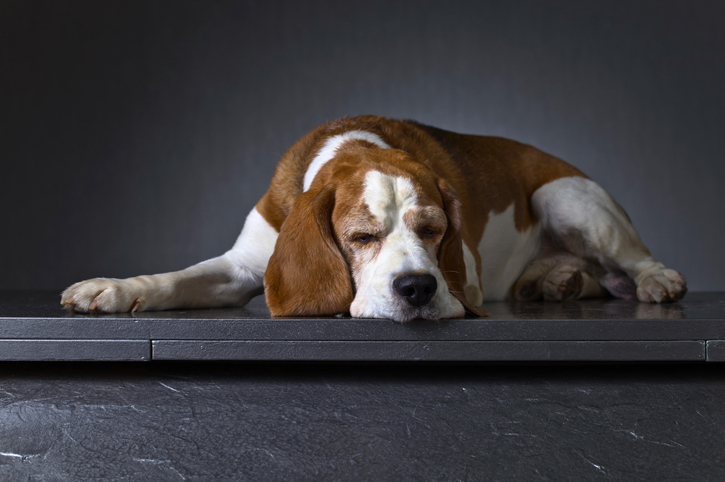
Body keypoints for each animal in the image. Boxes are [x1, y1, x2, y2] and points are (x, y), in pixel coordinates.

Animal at [60, 115, 684, 322]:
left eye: (434, 231)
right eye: (360, 237)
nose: (417, 289)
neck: (357, 146)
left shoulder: (464, 269)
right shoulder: (243, 265)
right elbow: (175, 279)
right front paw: (114, 289)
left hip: (567, 196)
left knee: (635, 261)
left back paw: (656, 280)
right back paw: (556, 281)